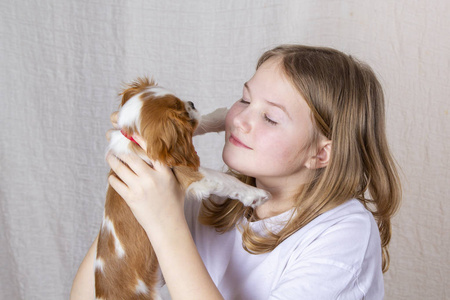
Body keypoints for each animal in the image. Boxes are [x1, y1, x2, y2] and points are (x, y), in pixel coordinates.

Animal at [94, 78, 268, 300]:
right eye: (182, 111)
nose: (192, 103)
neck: (135, 139)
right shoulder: (190, 173)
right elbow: (226, 179)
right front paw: (257, 195)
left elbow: (201, 123)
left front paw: (221, 115)